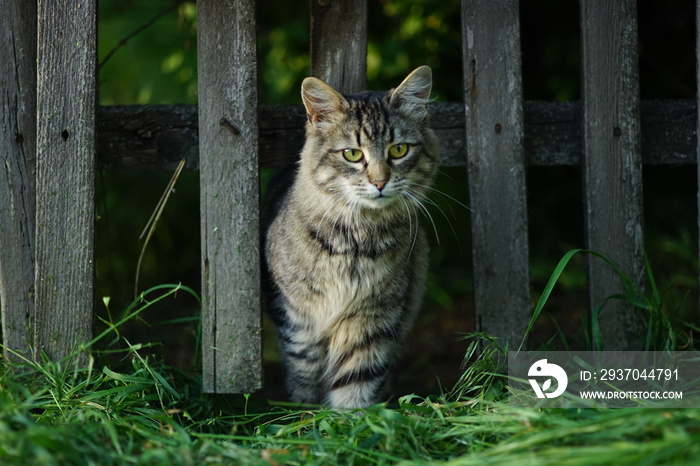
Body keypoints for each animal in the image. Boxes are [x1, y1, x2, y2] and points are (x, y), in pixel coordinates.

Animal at [262, 65, 438, 408]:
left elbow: (357, 380)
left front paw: (351, 417)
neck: (356, 241)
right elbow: (305, 379)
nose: (380, 182)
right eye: (353, 154)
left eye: (398, 150)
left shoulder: (373, 318)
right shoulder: (299, 322)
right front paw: (306, 415)